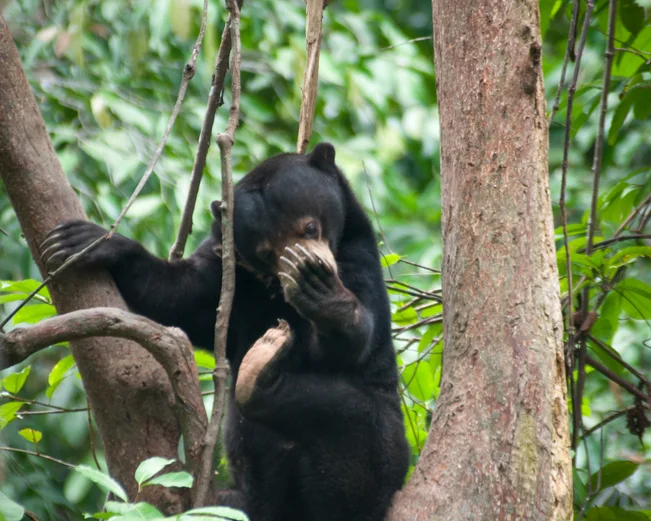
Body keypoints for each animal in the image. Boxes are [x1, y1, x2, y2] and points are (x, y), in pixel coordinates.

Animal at [41, 143, 409, 521]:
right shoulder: (225, 270)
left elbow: (353, 342)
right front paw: (84, 241)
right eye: (266, 252)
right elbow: (181, 296)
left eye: (310, 227)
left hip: (385, 450)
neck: (266, 287)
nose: (311, 263)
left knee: (350, 423)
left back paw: (258, 379)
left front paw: (318, 288)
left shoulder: (356, 256)